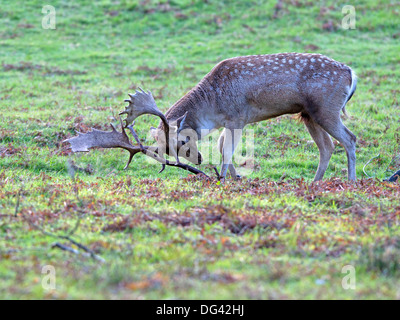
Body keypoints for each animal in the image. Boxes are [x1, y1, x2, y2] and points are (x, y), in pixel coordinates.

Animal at [65, 53, 356, 181]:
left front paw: (224, 178)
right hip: (308, 114)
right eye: (168, 151)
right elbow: (221, 145)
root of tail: (351, 74)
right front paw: (235, 178)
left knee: (350, 139)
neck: (213, 104)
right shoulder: (229, 121)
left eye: (183, 141)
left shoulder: (239, 118)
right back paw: (315, 183)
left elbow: (226, 149)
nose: (198, 160)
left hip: (327, 108)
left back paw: (352, 182)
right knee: (328, 147)